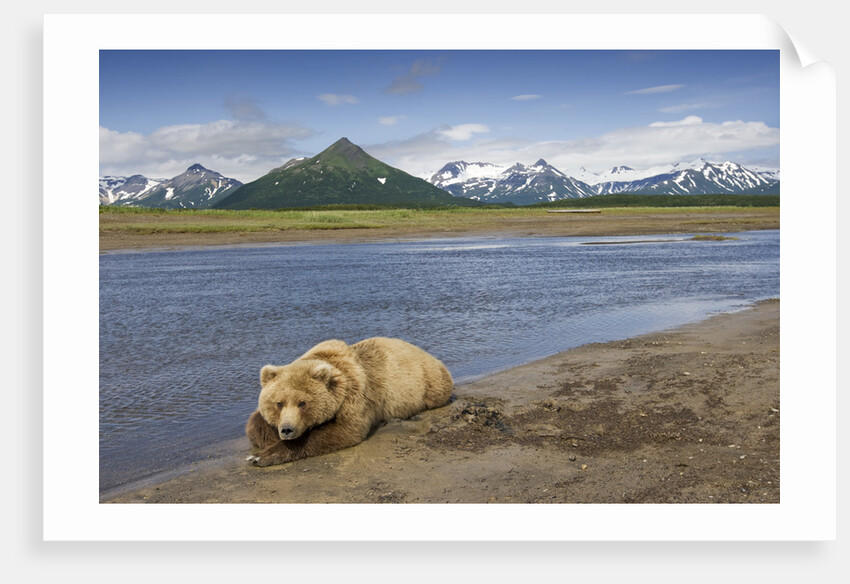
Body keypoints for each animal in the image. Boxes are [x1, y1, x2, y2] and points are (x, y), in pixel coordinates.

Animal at [245, 337, 454, 467]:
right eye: (279, 403)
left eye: (302, 403)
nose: (287, 429)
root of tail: (431, 355)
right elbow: (255, 422)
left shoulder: (354, 394)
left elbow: (345, 430)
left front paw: (259, 456)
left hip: (428, 383)